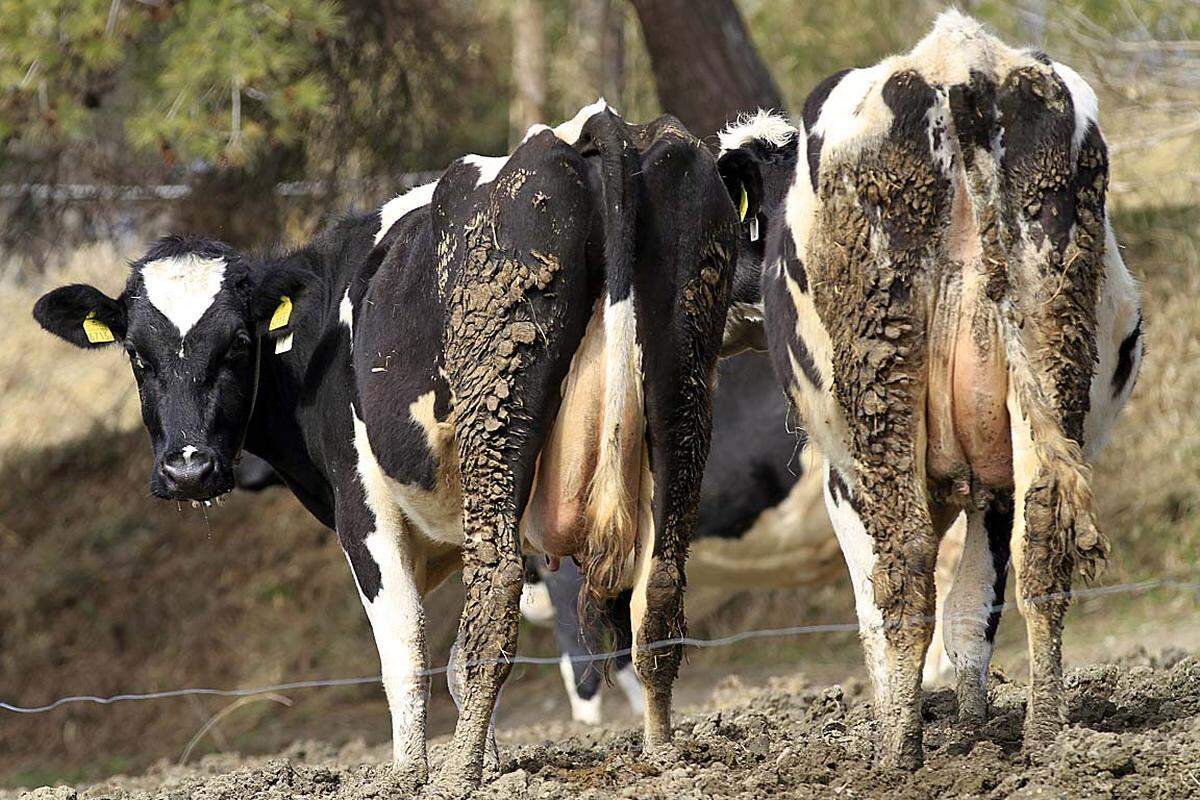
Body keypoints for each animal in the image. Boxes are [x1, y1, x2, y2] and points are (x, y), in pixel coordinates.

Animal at [32, 103, 734, 791]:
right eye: (136, 354)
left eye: (237, 343)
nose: (188, 470)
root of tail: (589, 126)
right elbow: (448, 662)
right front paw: (490, 764)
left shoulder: (365, 506)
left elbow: (406, 647)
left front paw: (414, 773)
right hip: (681, 393)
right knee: (659, 588)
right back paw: (662, 757)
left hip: (499, 418)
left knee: (496, 597)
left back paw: (457, 774)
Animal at [710, 9, 1142, 767]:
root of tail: (958, 58)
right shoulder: (990, 483)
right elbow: (972, 609)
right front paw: (974, 726)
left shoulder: (842, 482)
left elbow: (879, 611)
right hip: (1046, 361)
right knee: (1041, 555)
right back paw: (1046, 739)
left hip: (881, 393)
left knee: (906, 574)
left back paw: (898, 757)